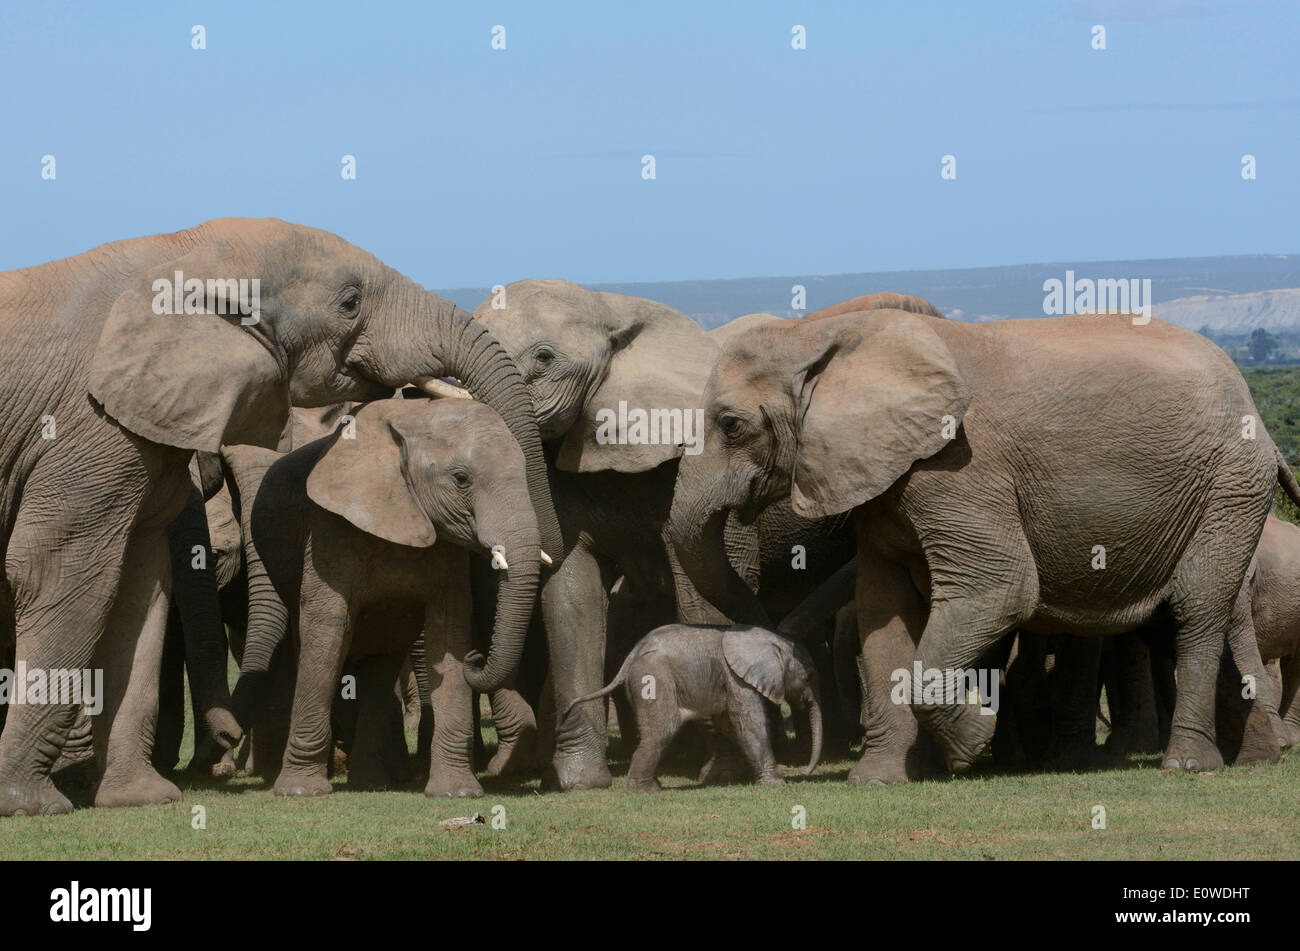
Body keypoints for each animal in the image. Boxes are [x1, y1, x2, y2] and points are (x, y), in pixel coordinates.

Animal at [223, 397, 538, 800]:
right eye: (461, 479)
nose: (478, 658)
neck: (412, 416)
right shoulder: (328, 528)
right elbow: (327, 632)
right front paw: (299, 793)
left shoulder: (446, 549)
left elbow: (448, 632)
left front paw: (458, 793)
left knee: (381, 660)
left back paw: (371, 782)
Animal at [564, 623, 816, 795]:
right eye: (808, 677)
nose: (804, 773)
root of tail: (633, 653)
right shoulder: (736, 678)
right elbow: (749, 722)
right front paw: (776, 783)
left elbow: (728, 723)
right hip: (654, 677)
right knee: (662, 730)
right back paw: (647, 791)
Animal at [665, 307, 1294, 784]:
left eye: (731, 425)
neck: (827, 333)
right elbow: (883, 612)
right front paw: (879, 780)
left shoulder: (960, 468)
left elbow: (1001, 589)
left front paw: (972, 739)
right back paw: (1250, 757)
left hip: (1230, 483)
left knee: (1197, 606)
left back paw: (1188, 765)